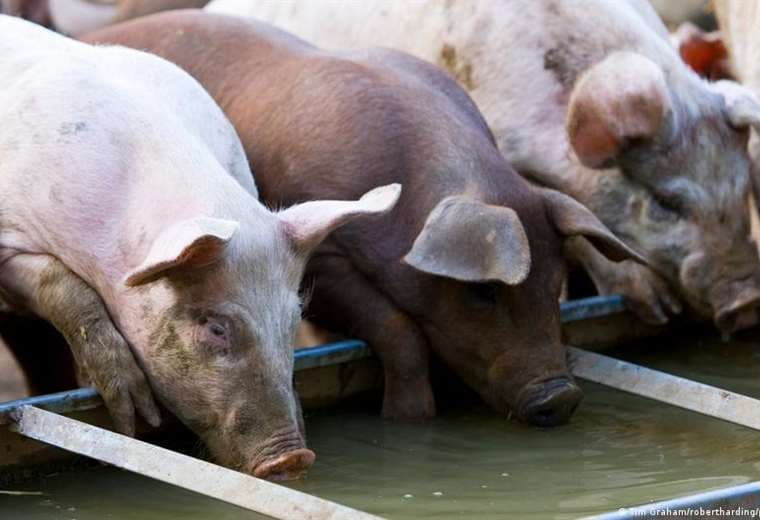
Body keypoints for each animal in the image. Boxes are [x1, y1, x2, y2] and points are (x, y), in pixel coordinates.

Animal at [83, 10, 643, 426]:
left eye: (556, 281)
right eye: (483, 291)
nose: (561, 397)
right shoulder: (319, 256)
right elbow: (396, 326)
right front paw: (409, 419)